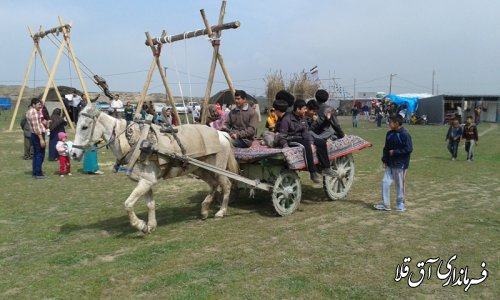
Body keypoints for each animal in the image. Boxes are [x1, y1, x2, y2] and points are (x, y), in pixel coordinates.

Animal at [71, 105, 240, 234]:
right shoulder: (145, 182)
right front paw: (150, 226)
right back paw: (204, 210)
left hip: (218, 168)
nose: (73, 153)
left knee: (226, 185)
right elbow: (150, 204)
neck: (136, 143)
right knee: (213, 184)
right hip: (199, 170)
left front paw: (140, 224)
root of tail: (221, 134)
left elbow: (128, 204)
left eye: (84, 127)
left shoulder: (146, 181)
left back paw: (221, 212)